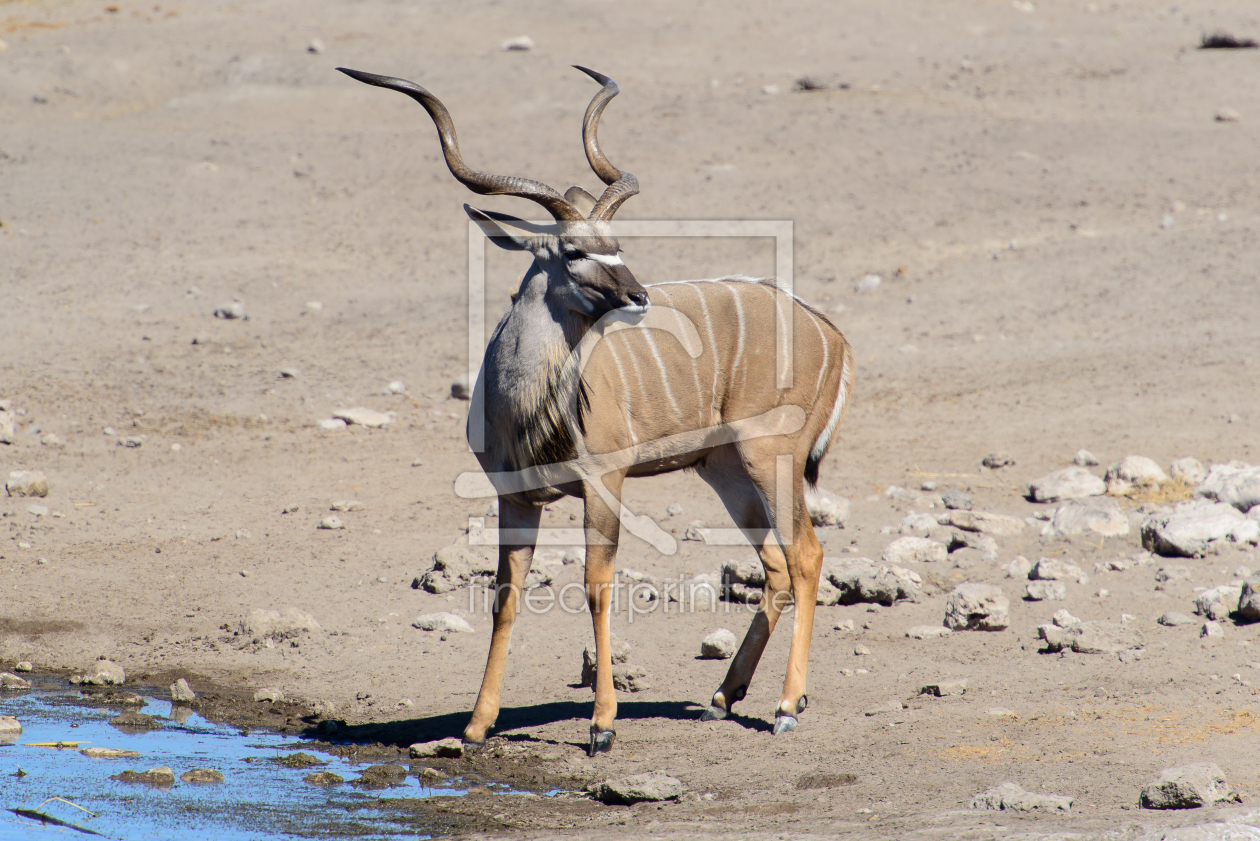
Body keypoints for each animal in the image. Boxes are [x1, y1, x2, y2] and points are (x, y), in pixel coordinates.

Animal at [342, 65, 856, 756]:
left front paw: (603, 724)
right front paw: (476, 725)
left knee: (805, 555)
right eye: (574, 251)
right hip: (724, 470)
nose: (637, 295)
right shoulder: (514, 496)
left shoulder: (603, 482)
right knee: (775, 565)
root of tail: (828, 331)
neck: (528, 408)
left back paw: (784, 707)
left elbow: (597, 585)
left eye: (617, 244)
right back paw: (724, 697)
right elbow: (506, 595)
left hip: (769, 458)